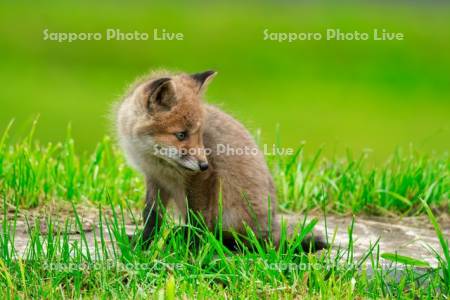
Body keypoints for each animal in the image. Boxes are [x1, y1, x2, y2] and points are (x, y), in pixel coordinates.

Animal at [114, 70, 326, 251]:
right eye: (181, 135)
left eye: (200, 135)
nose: (204, 165)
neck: (158, 161)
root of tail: (268, 226)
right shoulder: (155, 179)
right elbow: (151, 216)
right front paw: (143, 244)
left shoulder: (201, 179)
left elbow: (198, 218)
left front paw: (192, 248)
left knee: (241, 241)